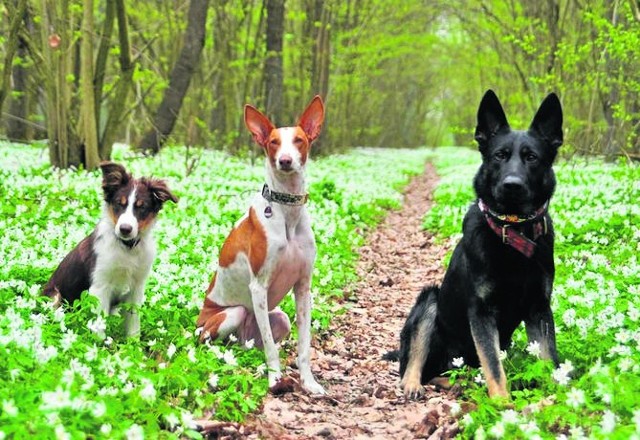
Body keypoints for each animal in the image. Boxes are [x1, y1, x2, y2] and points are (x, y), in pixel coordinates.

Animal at [43, 162, 178, 336]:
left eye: (142, 207)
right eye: (119, 203)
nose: (125, 229)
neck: (127, 248)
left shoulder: (136, 287)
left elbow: (133, 324)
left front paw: (133, 343)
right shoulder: (100, 286)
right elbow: (99, 324)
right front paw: (101, 343)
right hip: (54, 296)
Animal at [195, 94, 324, 394]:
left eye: (299, 140)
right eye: (273, 142)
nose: (285, 161)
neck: (287, 212)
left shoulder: (303, 287)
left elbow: (304, 346)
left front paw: (309, 382)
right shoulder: (259, 287)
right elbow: (270, 348)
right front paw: (275, 379)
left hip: (280, 319)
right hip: (233, 313)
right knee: (211, 344)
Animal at [392, 90, 564, 398]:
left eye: (532, 158)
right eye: (500, 156)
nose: (512, 184)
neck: (514, 231)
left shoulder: (540, 308)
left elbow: (548, 358)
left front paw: (557, 397)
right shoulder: (481, 312)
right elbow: (494, 365)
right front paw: (503, 402)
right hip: (430, 301)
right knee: (419, 364)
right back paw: (414, 383)